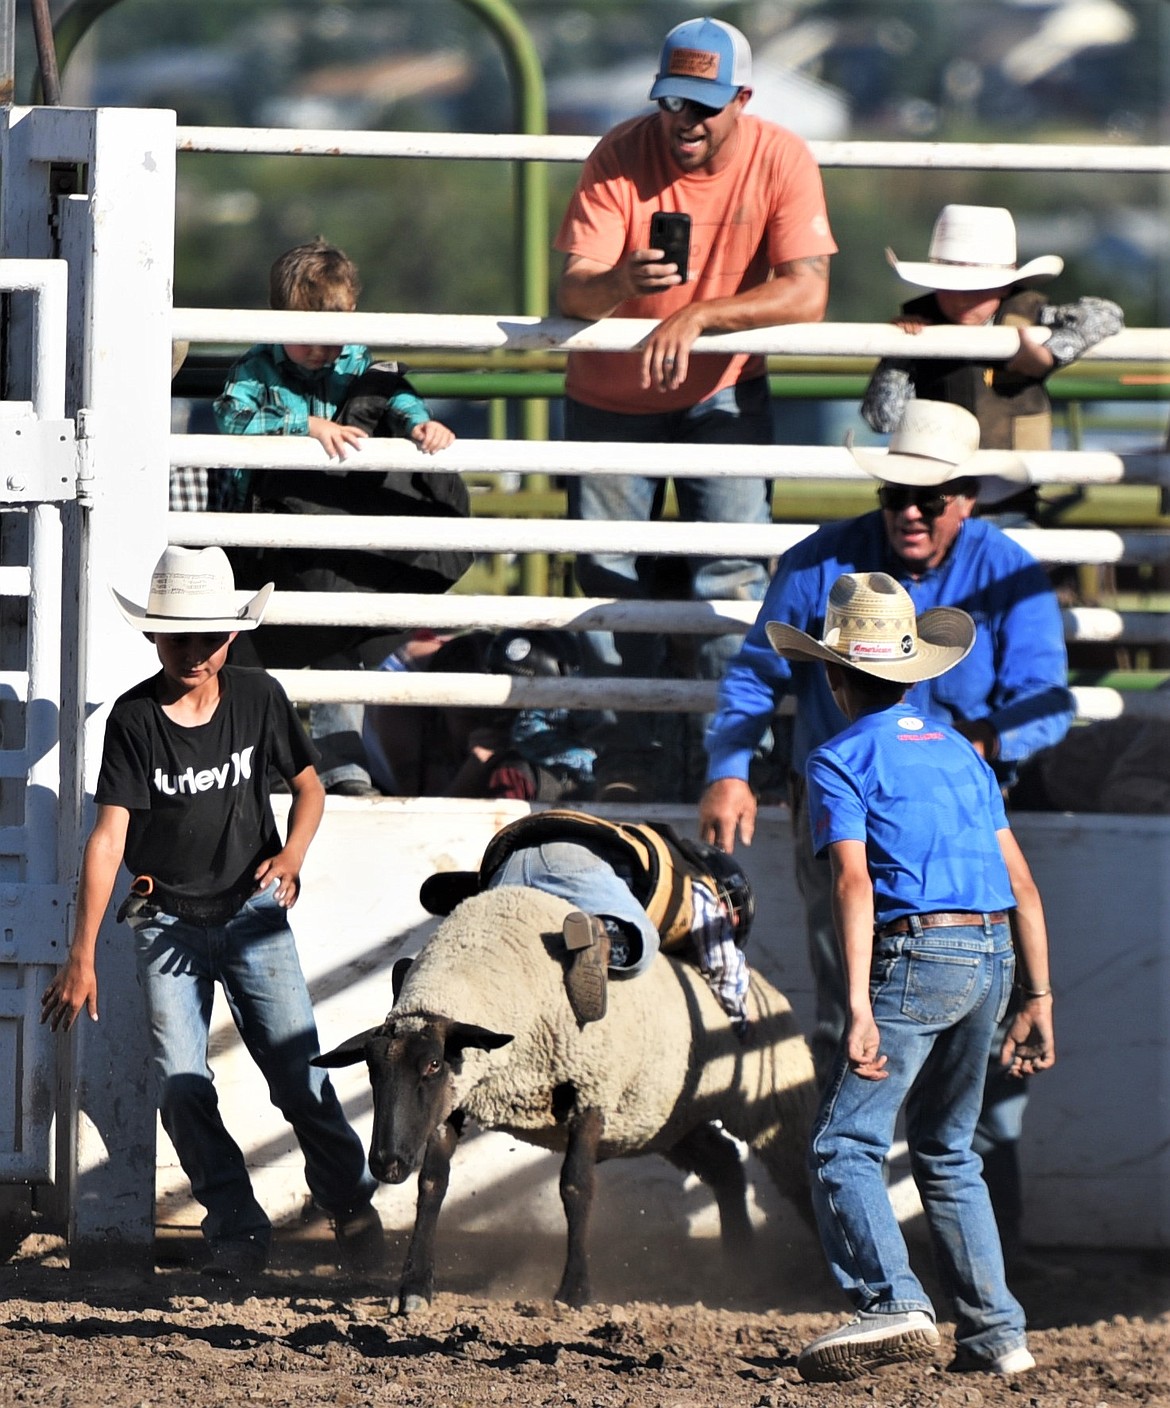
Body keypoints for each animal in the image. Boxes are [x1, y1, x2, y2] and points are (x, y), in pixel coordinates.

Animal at [315, 884, 816, 1312]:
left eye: (433, 1064)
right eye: (371, 1069)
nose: (386, 1164)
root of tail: (761, 985)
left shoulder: (590, 1092)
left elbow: (575, 1187)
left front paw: (575, 1289)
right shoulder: (455, 1102)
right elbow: (432, 1186)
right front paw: (415, 1287)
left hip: (771, 1100)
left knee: (797, 1169)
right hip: (667, 1121)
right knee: (726, 1165)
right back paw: (739, 1264)